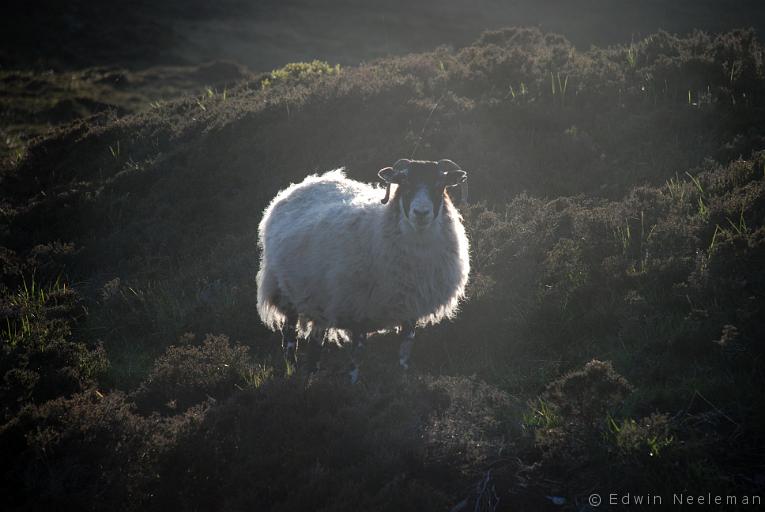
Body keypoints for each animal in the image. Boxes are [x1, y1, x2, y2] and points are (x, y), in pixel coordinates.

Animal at [256, 159, 468, 380]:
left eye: (440, 184)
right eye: (404, 182)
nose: (421, 213)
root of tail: (306, 183)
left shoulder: (409, 310)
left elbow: (404, 351)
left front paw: (401, 377)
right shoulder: (359, 310)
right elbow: (356, 358)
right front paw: (352, 384)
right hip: (291, 292)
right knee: (293, 339)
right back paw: (295, 374)